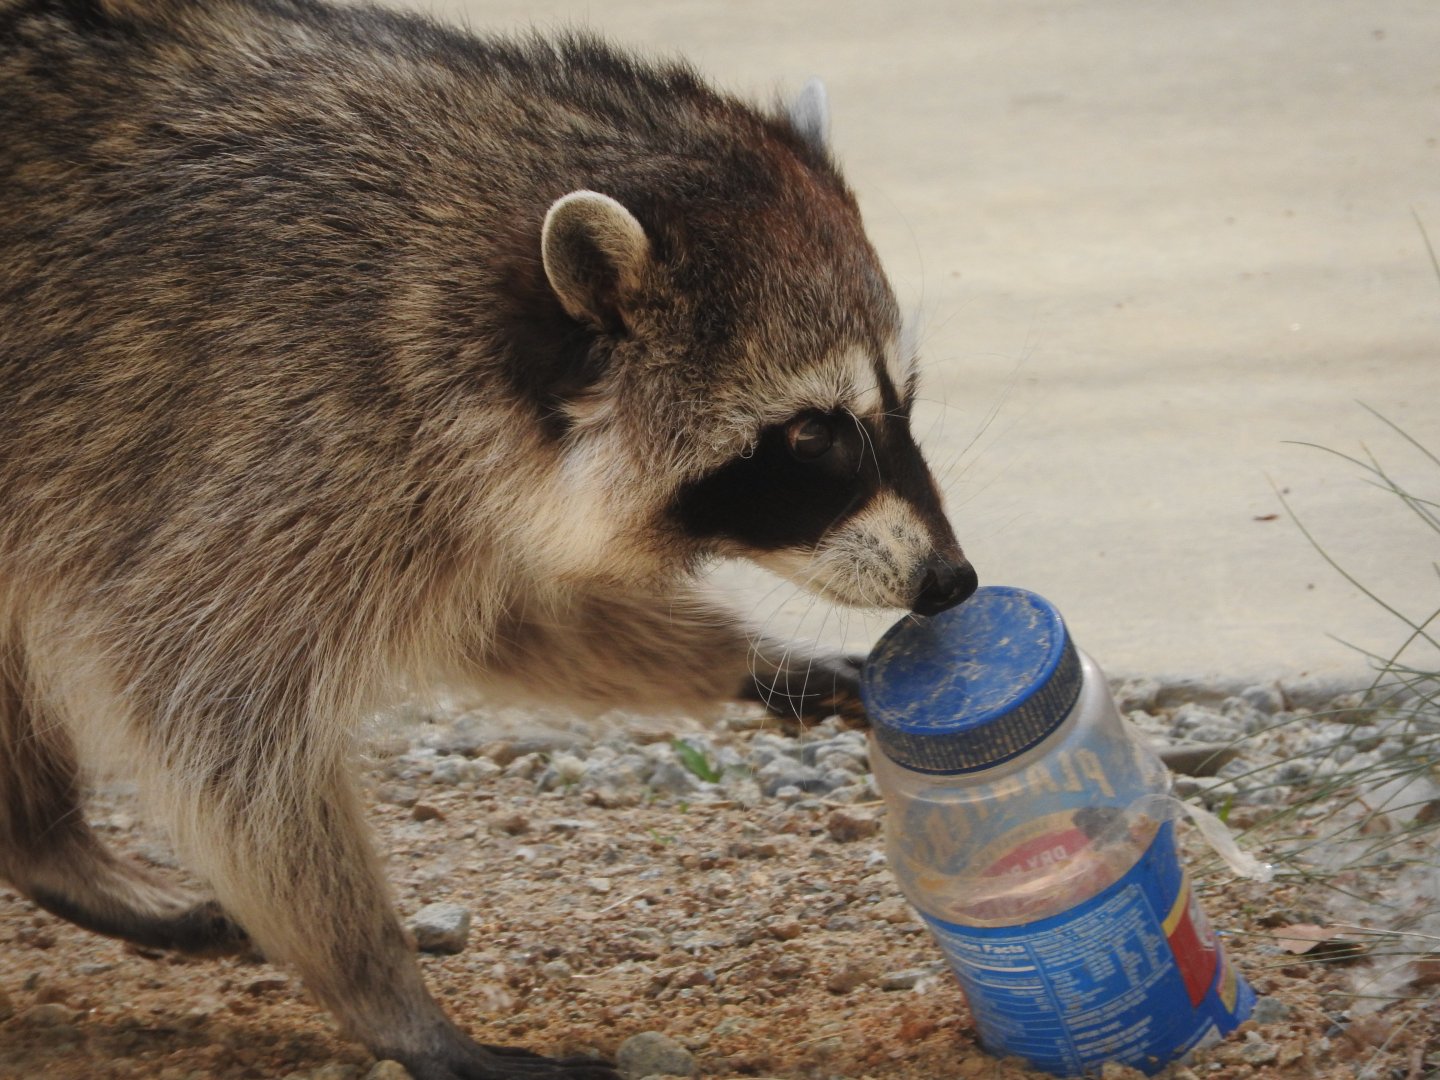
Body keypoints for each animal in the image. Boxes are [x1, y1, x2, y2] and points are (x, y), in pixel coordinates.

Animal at [0, 0, 977, 1076]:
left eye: (903, 399)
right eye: (811, 435)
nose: (951, 581)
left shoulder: (430, 486)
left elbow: (514, 612)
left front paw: (755, 662)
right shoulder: (274, 432)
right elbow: (209, 709)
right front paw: (386, 995)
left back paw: (45, 847)